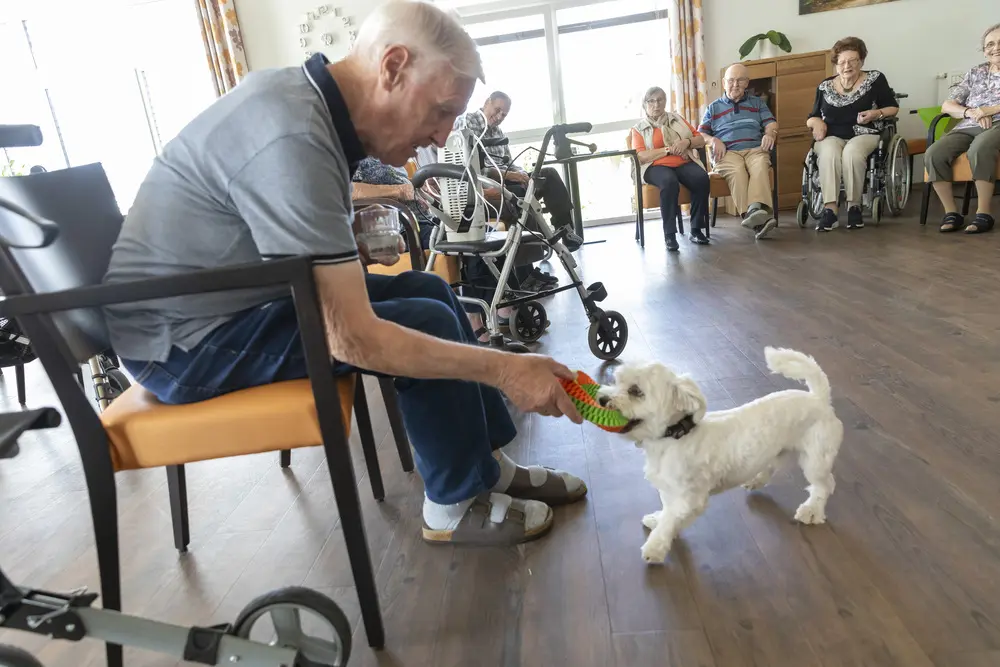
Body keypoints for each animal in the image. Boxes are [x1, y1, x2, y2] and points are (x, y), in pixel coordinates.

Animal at [600, 350, 844, 564]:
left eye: (635, 391)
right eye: (616, 381)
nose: (602, 398)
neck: (675, 437)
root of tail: (819, 398)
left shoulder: (691, 496)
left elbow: (671, 519)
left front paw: (656, 546)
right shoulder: (670, 491)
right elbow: (669, 513)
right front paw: (659, 521)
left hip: (815, 458)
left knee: (824, 485)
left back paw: (812, 511)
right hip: (778, 447)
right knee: (772, 465)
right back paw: (756, 480)